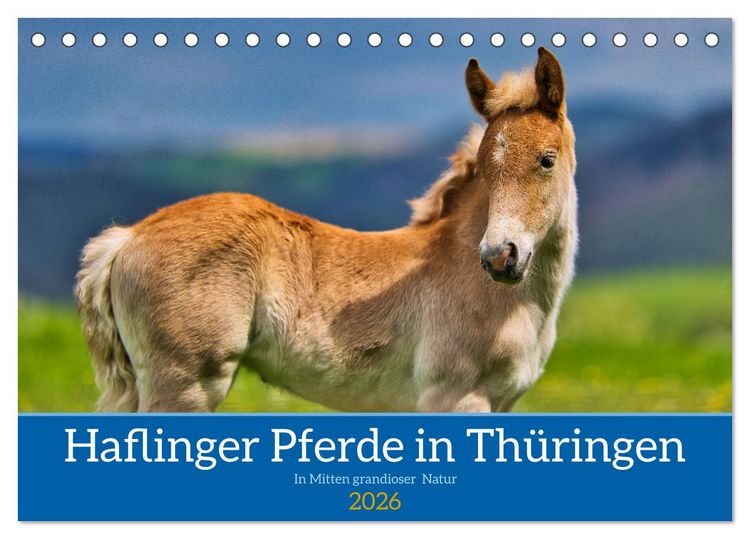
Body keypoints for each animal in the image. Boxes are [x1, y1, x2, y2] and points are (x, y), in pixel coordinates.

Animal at [75, 47, 578, 413]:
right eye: (486, 170)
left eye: (546, 160)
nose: (499, 257)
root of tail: (128, 237)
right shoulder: (456, 399)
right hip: (185, 389)